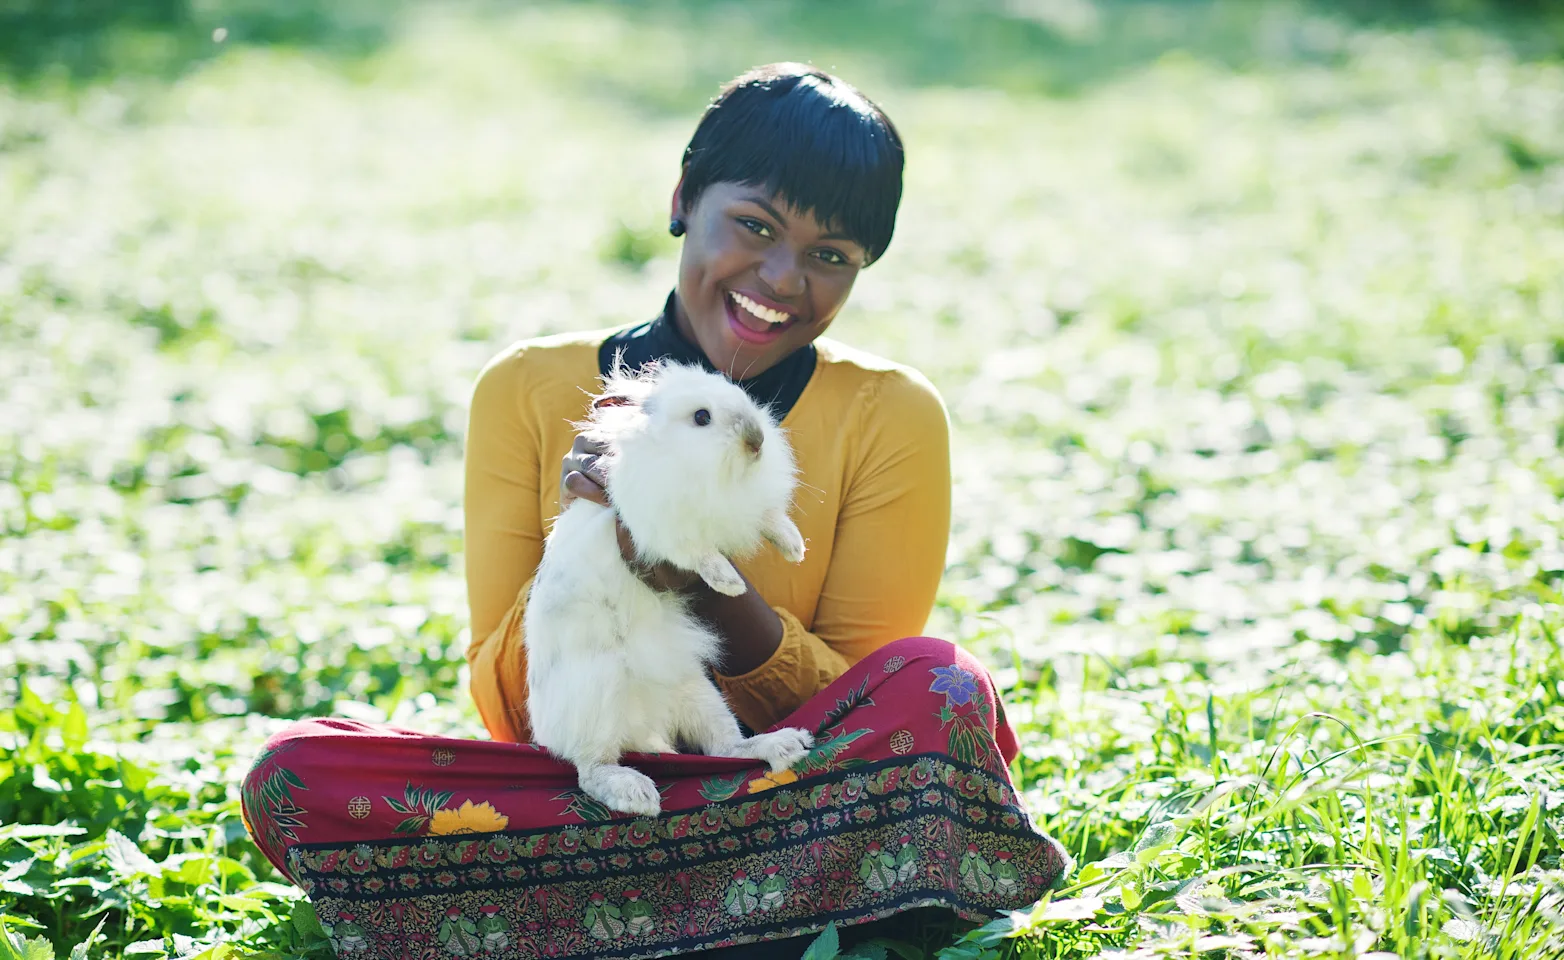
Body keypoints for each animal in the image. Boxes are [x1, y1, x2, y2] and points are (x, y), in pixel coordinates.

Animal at [525, 361, 819, 819]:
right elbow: (700, 553)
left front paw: (794, 549)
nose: (756, 441)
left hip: (699, 693)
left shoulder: (746, 508)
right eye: (701, 417)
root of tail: (646, 724)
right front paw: (729, 582)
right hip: (596, 696)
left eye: (742, 395)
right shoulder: (665, 531)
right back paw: (636, 794)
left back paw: (786, 744)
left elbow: (771, 519)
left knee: (726, 746)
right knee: (590, 768)